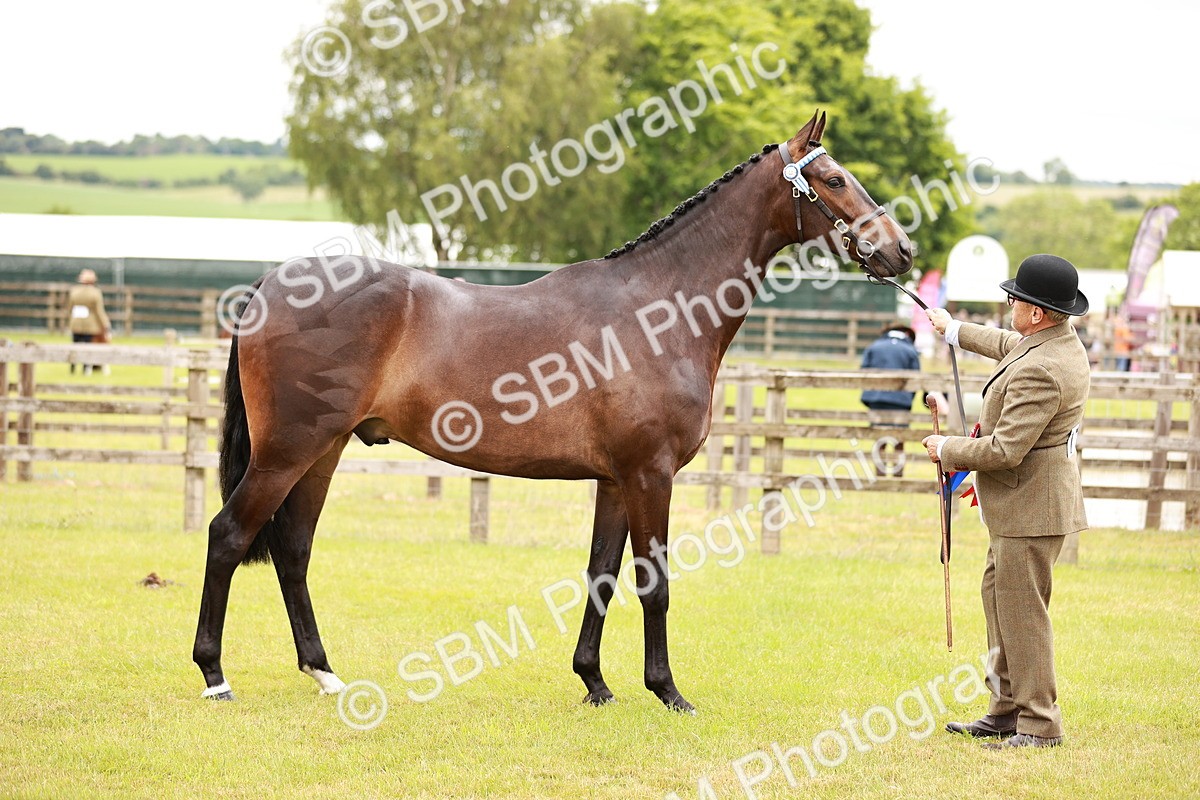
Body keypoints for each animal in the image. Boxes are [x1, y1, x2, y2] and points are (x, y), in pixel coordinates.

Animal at [193, 110, 913, 712]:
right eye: (834, 179)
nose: (901, 249)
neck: (660, 308)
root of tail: (270, 285)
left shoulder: (616, 480)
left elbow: (602, 576)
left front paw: (594, 683)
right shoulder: (650, 474)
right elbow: (654, 582)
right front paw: (667, 691)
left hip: (324, 451)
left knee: (293, 550)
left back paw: (325, 673)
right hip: (286, 452)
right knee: (228, 535)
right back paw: (215, 676)